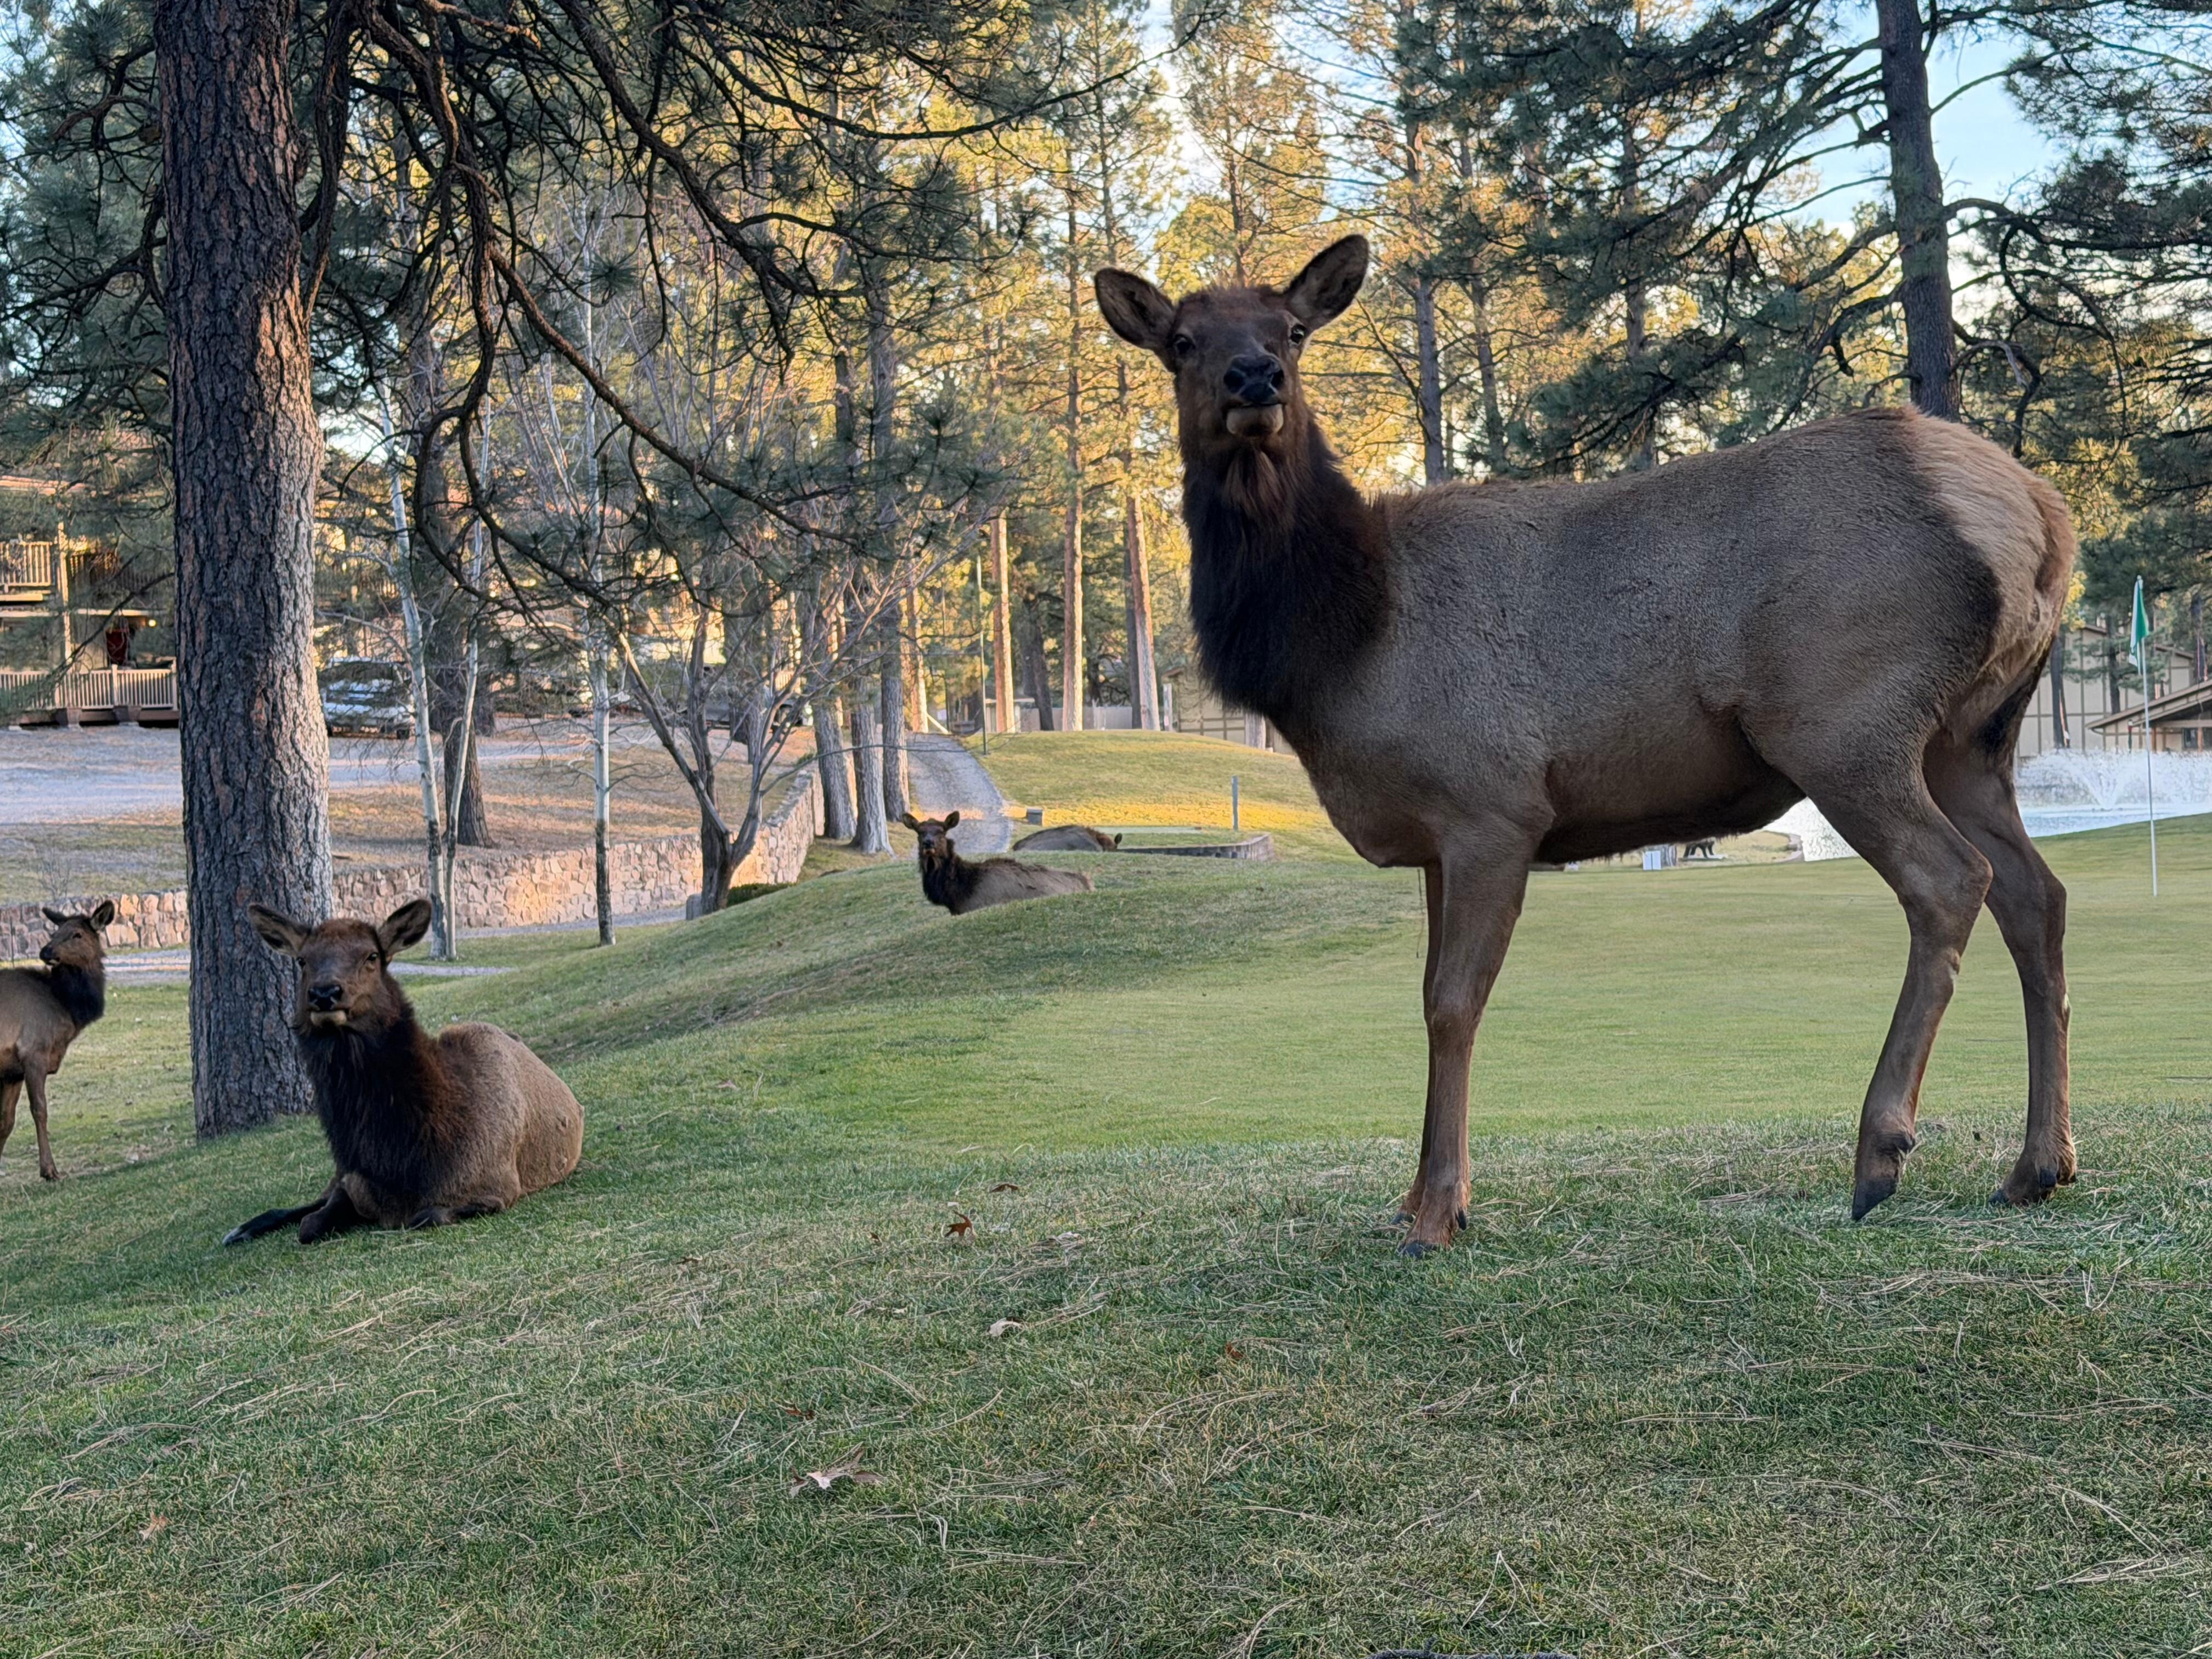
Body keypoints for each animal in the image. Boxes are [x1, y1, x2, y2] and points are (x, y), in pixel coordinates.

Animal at [0, 901, 114, 1182]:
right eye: (56, 931)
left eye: (77, 934)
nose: (46, 951)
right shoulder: (34, 1053)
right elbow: (40, 1110)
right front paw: (49, 1170)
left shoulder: (12, 1072)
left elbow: (6, 1122)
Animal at [224, 897, 584, 1244]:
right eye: (302, 960)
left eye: (372, 956)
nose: (325, 993)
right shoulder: (351, 1178)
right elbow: (310, 1225)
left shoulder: (498, 1187)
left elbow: (425, 1216)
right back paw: (240, 1230)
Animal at [1096, 235, 2077, 1254]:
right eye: (1181, 340)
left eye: (1292, 329)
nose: (1256, 377)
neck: (1340, 642)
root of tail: (2043, 518)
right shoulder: (1436, 840)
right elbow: (1425, 997)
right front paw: (1414, 1196)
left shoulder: (1491, 804)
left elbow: (1453, 1003)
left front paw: (1438, 1212)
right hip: (1971, 740)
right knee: (2035, 894)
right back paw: (2036, 1165)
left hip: (1845, 721)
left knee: (1951, 880)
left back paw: (1880, 1150)